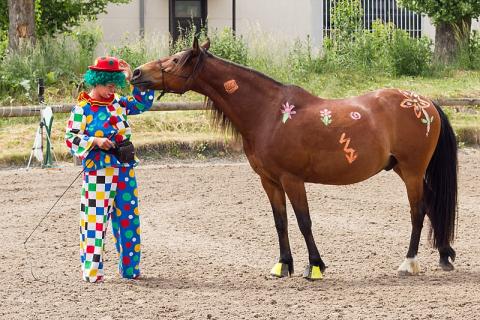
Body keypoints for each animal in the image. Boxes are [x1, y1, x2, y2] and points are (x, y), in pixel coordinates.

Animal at [130, 38, 458, 280]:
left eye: (176, 59)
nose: (136, 73)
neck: (269, 114)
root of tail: (426, 103)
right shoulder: (270, 181)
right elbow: (281, 222)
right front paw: (283, 265)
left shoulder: (292, 179)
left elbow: (304, 222)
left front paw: (314, 266)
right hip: (402, 169)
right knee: (431, 204)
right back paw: (445, 255)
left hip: (412, 170)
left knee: (417, 211)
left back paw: (409, 263)